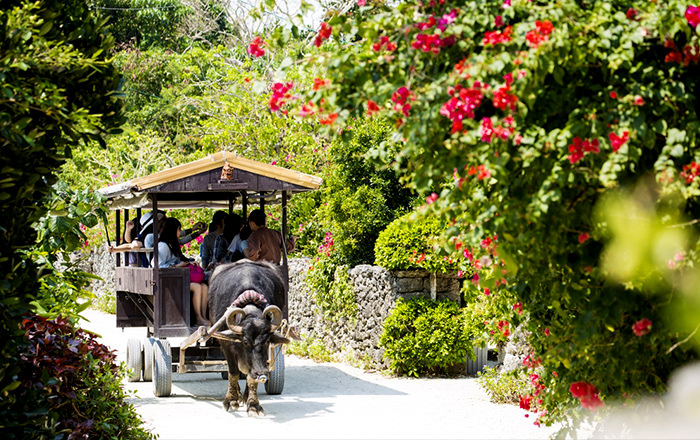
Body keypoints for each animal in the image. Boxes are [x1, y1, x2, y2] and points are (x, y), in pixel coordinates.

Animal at [211, 260, 292, 414]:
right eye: (245, 341)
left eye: (267, 341)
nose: (262, 373)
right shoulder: (225, 344)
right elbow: (233, 372)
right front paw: (231, 400)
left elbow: (250, 377)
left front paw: (253, 404)